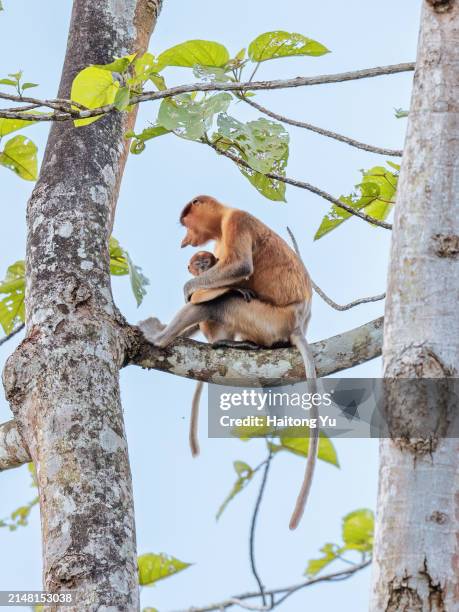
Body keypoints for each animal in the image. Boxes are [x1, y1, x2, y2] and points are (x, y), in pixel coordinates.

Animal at [141, 196, 320, 532]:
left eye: (186, 223)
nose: (184, 241)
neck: (222, 217)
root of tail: (297, 324)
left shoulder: (236, 221)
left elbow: (238, 268)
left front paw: (189, 289)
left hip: (267, 319)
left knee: (217, 302)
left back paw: (160, 337)